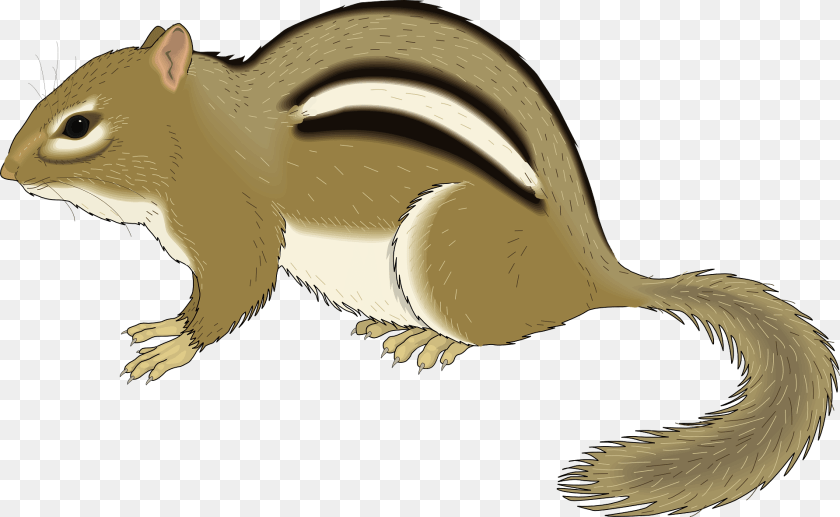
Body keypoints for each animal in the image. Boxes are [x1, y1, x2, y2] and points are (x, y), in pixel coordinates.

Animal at [1, 1, 836, 514]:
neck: (203, 129)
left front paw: (175, 341)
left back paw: (431, 339)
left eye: (78, 125)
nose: (6, 170)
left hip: (447, 248)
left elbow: (238, 288)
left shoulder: (233, 222)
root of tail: (589, 268)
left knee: (495, 334)